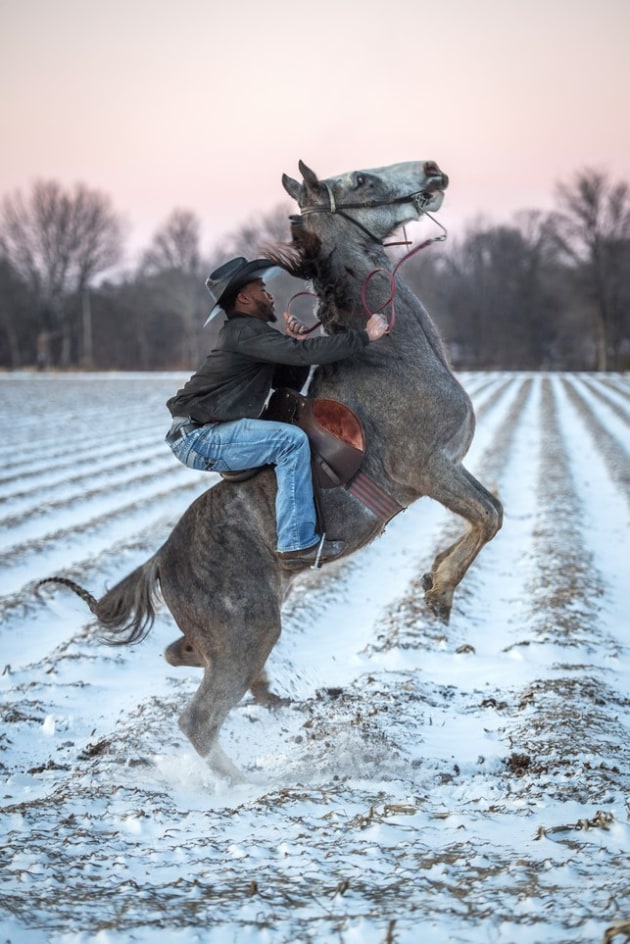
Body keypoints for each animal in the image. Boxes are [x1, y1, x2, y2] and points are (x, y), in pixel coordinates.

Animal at [39, 162, 504, 780]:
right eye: (361, 178)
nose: (433, 170)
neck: (391, 357)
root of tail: (161, 559)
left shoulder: (451, 468)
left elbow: (490, 512)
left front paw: (432, 579)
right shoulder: (429, 469)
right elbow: (489, 516)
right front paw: (440, 593)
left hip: (241, 630)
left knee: (183, 656)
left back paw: (271, 701)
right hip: (250, 630)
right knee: (199, 718)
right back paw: (241, 784)